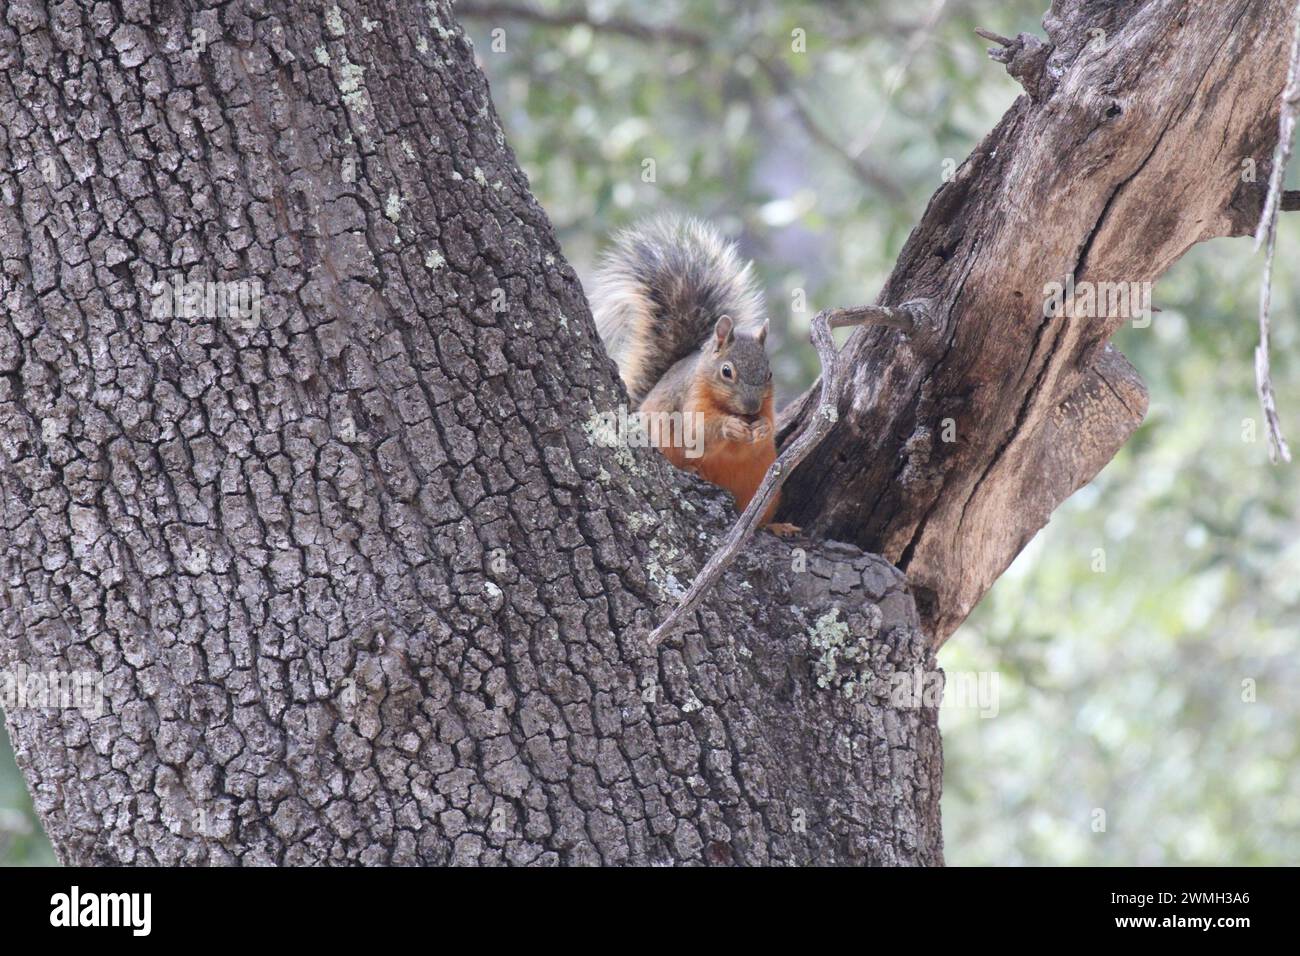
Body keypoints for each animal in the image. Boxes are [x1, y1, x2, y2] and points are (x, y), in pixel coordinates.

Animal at [595, 214, 785, 530]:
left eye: (769, 375)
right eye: (726, 371)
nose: (751, 407)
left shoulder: (768, 407)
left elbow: (768, 429)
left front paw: (760, 428)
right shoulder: (690, 400)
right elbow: (697, 431)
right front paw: (730, 427)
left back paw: (778, 526)